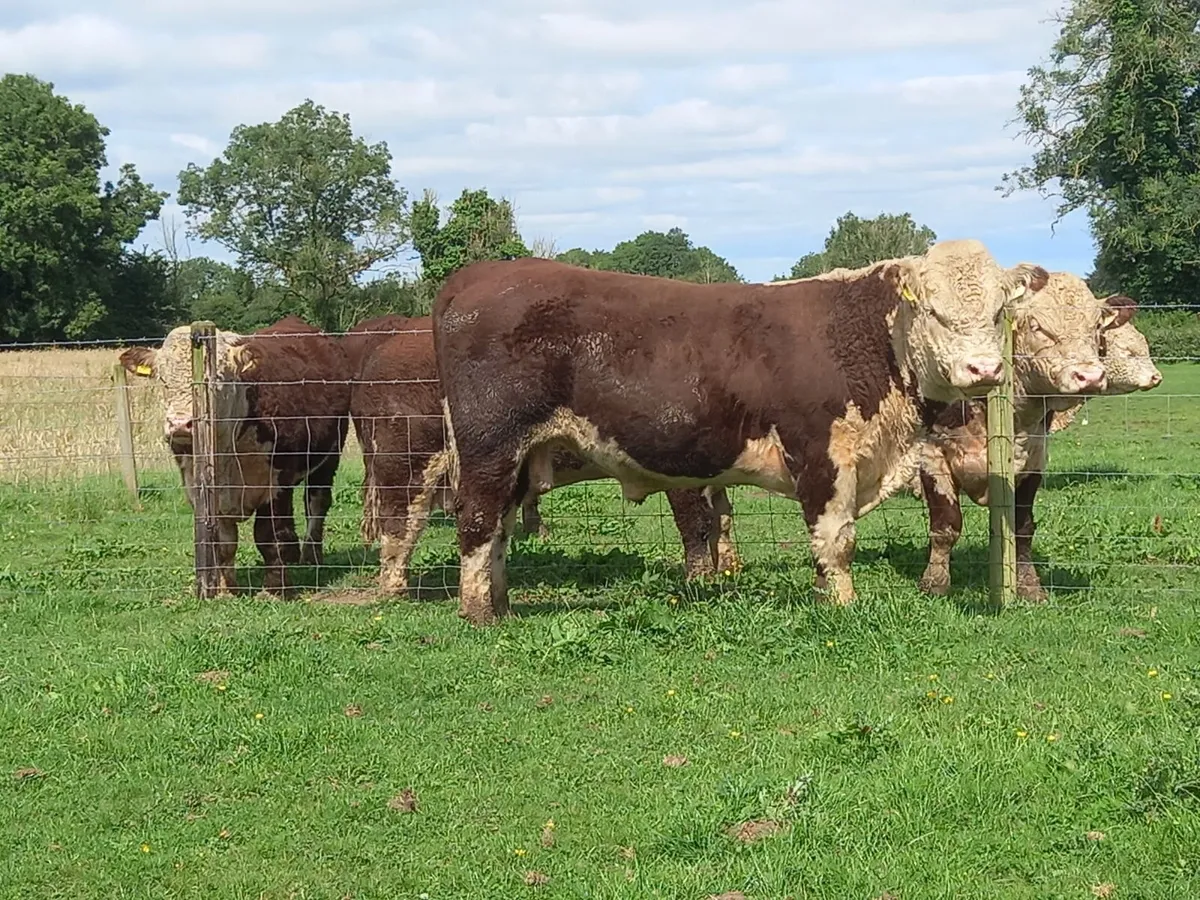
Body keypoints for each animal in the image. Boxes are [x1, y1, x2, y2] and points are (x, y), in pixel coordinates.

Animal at [119, 315, 351, 594]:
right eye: (163, 380)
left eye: (216, 380)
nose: (180, 425)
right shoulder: (198, 487)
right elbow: (223, 542)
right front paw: (225, 590)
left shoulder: (277, 481)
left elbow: (269, 536)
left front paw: (275, 590)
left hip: (329, 455)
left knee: (316, 503)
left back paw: (310, 556)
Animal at [348, 316, 739, 595]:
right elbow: (696, 522)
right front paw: (700, 581)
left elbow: (722, 517)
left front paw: (730, 569)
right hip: (407, 460)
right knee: (400, 520)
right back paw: (394, 588)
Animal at [432, 239, 1049, 624]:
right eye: (936, 313)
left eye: (998, 312)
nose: (984, 370)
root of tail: (477, 275)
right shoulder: (820, 454)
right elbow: (836, 539)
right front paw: (841, 604)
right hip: (490, 446)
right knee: (478, 523)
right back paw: (480, 614)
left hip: (520, 454)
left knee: (499, 529)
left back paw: (503, 604)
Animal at [914, 280, 1160, 600]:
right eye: (1036, 326)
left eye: (1096, 326)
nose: (1090, 376)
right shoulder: (932, 456)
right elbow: (946, 525)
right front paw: (935, 583)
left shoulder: (1033, 461)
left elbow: (1023, 528)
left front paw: (1030, 587)